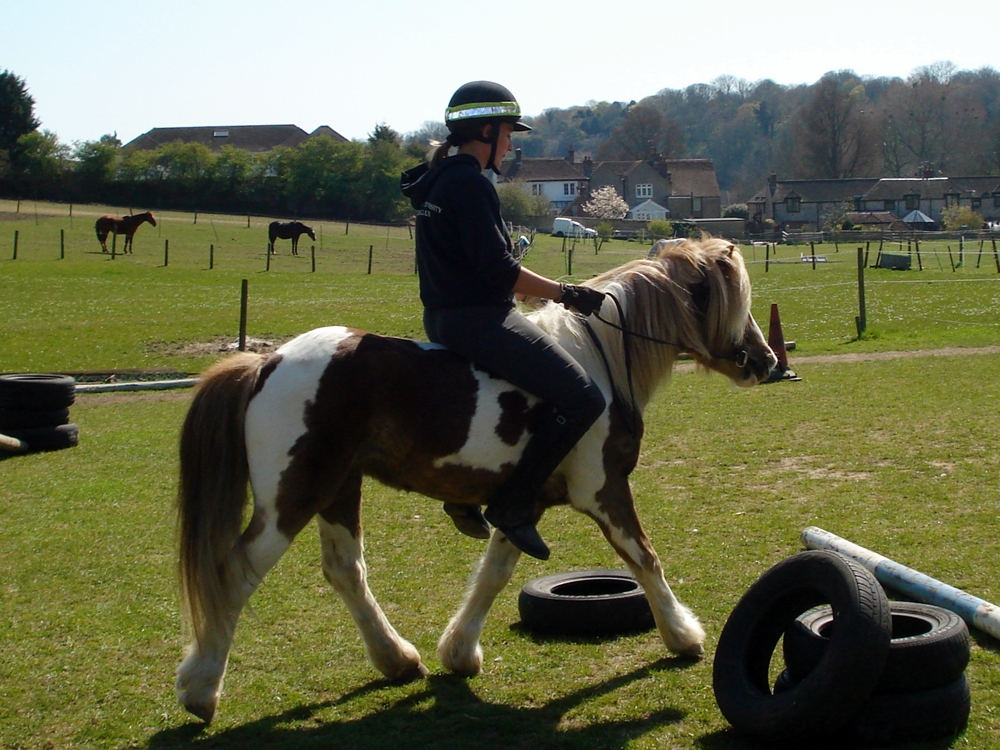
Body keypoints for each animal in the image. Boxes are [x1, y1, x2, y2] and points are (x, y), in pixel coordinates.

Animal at [174, 236, 777, 723]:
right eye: (729, 300)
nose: (766, 359)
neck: (601, 360)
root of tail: (265, 364)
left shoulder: (523, 503)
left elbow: (494, 573)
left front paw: (459, 652)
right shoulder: (603, 489)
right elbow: (644, 558)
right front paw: (683, 635)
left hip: (339, 487)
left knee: (345, 571)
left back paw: (397, 659)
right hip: (293, 496)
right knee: (234, 573)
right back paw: (201, 689)